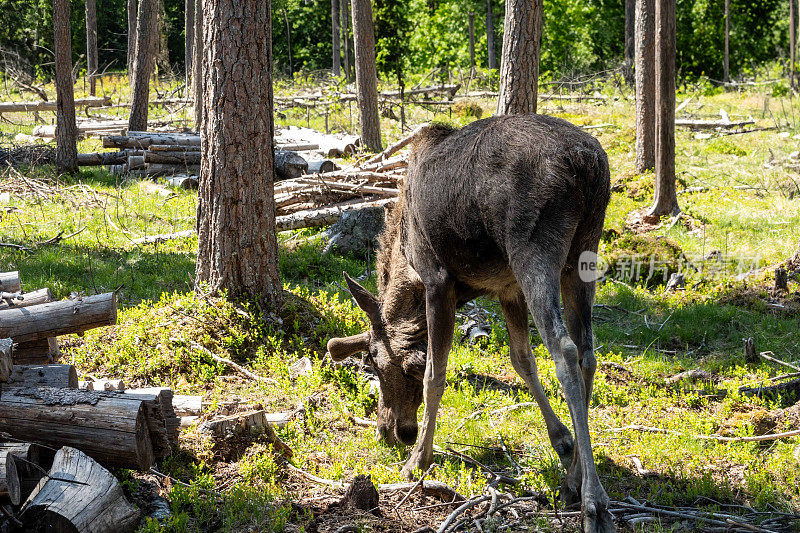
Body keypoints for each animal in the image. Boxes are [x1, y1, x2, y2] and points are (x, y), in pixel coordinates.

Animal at [324, 114, 612, 528]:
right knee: (588, 353)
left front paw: (418, 460)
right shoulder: (507, 288)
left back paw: (593, 500)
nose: (391, 431)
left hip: (534, 249)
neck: (406, 264)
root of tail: (587, 164)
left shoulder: (437, 279)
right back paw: (573, 477)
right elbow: (522, 361)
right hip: (583, 250)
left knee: (566, 351)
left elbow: (434, 374)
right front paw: (562, 440)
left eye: (375, 364)